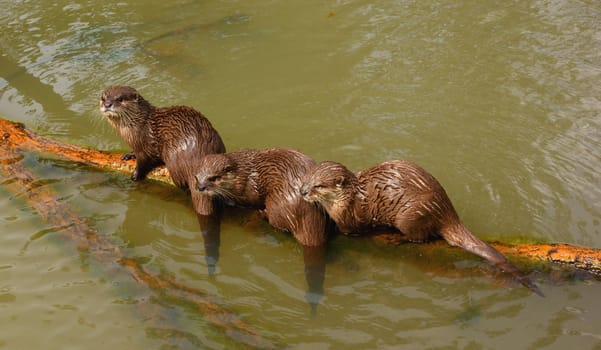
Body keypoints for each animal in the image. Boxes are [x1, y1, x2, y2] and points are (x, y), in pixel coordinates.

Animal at [98, 85, 225, 216]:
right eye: (103, 98)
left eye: (120, 99)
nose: (107, 104)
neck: (137, 126)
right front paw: (129, 155)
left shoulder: (143, 147)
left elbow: (143, 162)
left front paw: (135, 175)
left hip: (172, 156)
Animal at [195, 148, 328, 246]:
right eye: (196, 177)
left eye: (213, 178)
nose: (200, 187)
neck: (244, 175)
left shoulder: (249, 190)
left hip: (277, 202)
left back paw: (262, 212)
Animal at [302, 161, 540, 296]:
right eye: (306, 179)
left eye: (318, 185)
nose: (303, 192)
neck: (349, 200)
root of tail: (445, 210)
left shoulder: (353, 218)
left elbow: (352, 231)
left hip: (410, 215)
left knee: (420, 237)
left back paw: (397, 238)